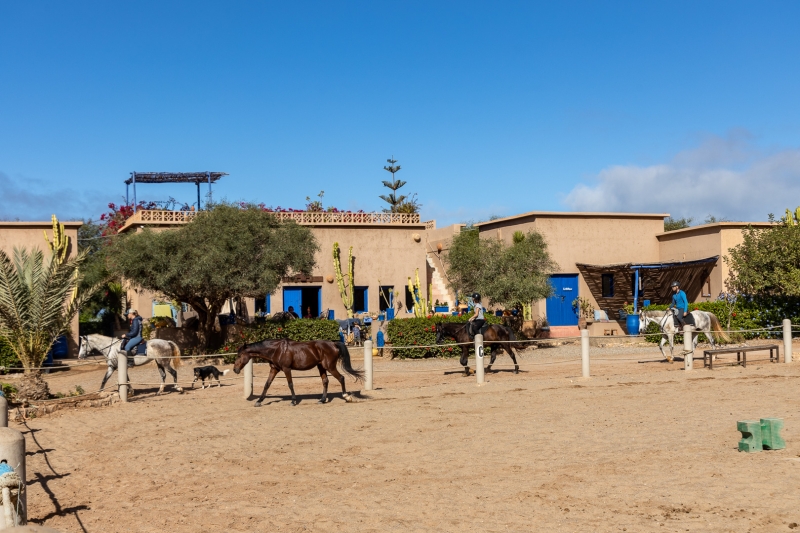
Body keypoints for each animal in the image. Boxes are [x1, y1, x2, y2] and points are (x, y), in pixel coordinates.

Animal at [233, 338, 364, 406]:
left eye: (239, 355)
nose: (235, 369)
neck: (276, 350)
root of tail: (333, 343)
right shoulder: (274, 369)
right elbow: (267, 384)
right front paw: (259, 401)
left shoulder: (286, 369)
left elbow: (290, 384)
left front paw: (293, 401)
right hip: (321, 367)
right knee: (325, 381)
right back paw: (322, 400)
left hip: (330, 367)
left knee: (341, 378)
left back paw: (347, 397)